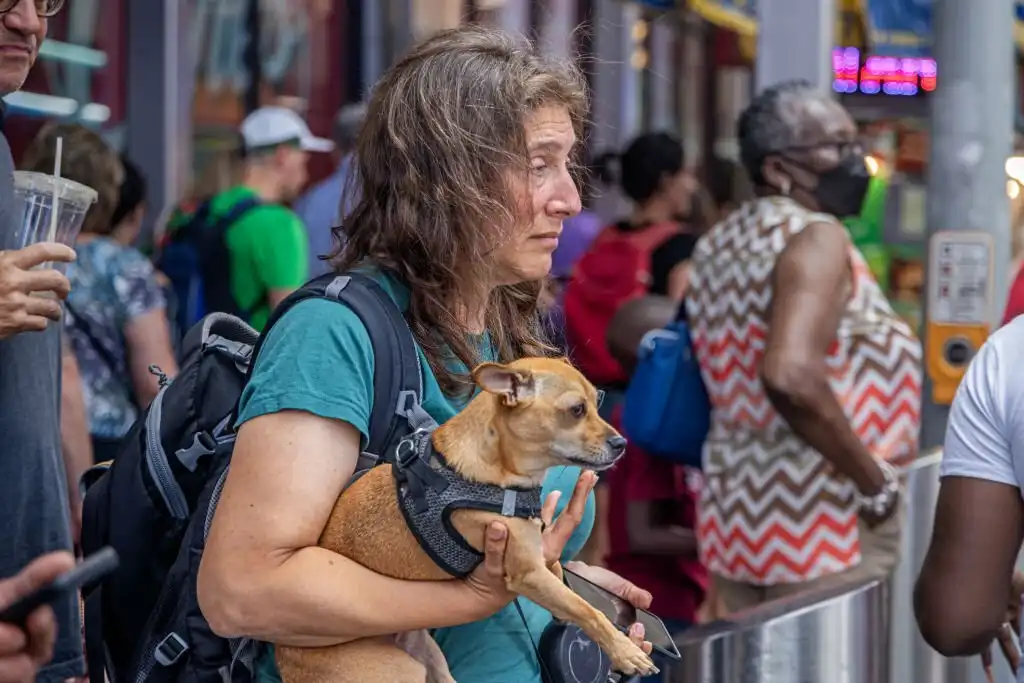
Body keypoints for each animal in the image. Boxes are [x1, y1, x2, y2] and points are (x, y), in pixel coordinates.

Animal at [276, 358, 655, 683]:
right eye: (577, 410)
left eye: (596, 401)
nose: (621, 443)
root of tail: (286, 655)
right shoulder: (527, 573)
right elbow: (587, 610)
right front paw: (625, 650)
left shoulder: (537, 556)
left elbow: (563, 578)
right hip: (396, 670)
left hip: (429, 657)